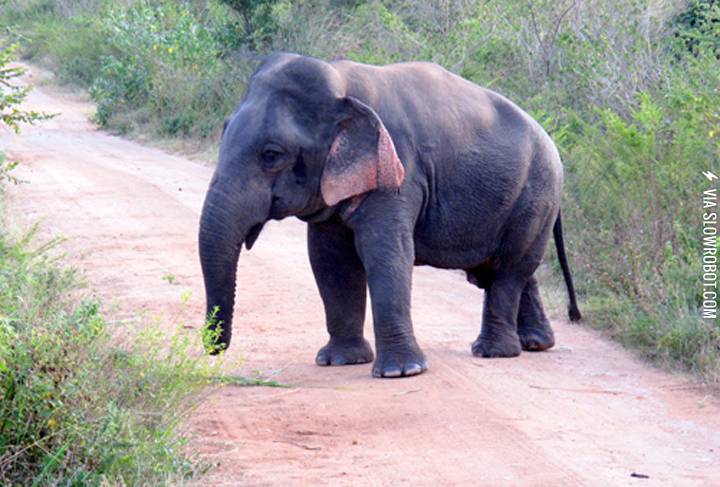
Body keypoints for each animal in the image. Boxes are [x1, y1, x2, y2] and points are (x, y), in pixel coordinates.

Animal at [198, 52, 582, 378]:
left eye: (271, 154)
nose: (214, 348)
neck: (341, 82)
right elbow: (329, 259)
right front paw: (339, 361)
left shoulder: (399, 171)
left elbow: (385, 251)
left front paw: (401, 372)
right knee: (506, 270)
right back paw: (535, 344)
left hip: (536, 195)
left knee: (508, 270)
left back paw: (494, 352)